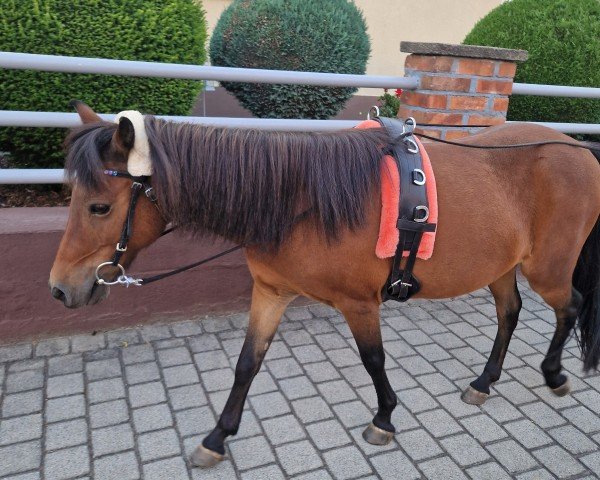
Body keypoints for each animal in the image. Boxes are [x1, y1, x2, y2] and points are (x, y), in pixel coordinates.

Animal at [48, 103, 600, 466]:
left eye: (100, 207)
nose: (60, 289)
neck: (300, 199)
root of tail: (578, 149)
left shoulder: (360, 304)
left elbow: (373, 360)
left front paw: (383, 419)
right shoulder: (271, 293)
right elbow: (247, 364)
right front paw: (218, 436)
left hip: (547, 268)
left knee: (569, 306)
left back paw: (554, 373)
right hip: (503, 266)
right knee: (510, 312)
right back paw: (484, 381)